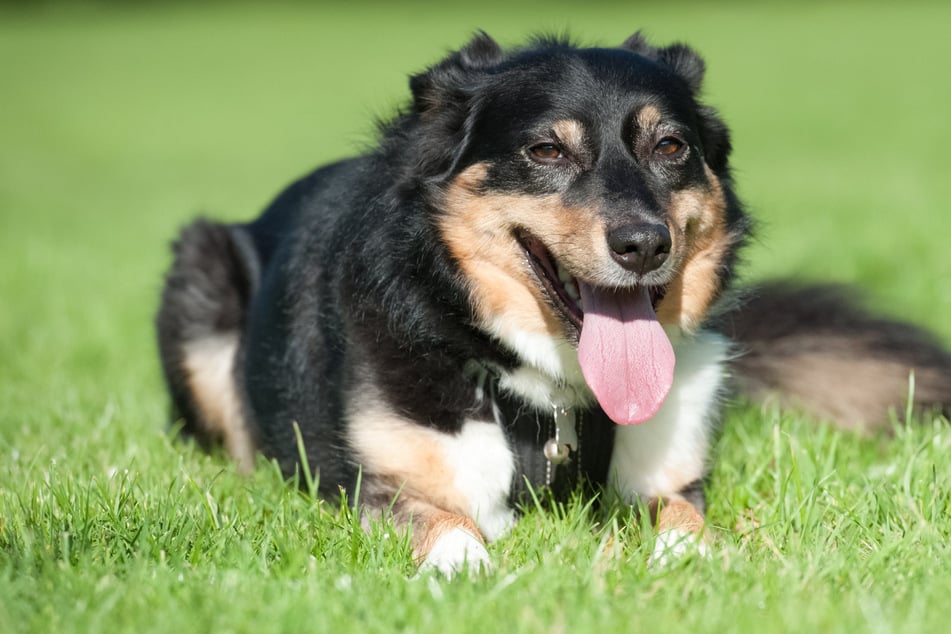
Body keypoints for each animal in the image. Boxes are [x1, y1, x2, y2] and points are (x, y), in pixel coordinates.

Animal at [156, 32, 951, 572]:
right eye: (546, 152)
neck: (552, 388)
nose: (644, 244)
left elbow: (684, 519)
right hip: (201, 272)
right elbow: (447, 528)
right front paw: (469, 569)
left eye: (670, 146)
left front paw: (692, 562)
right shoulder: (381, 487)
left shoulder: (668, 474)